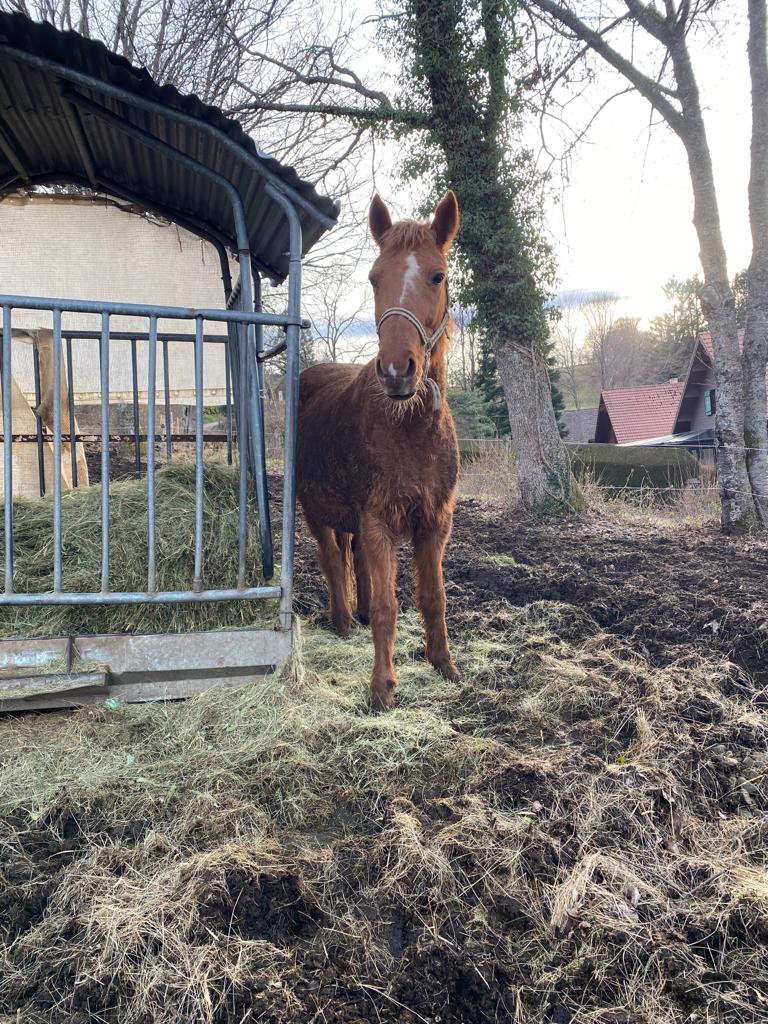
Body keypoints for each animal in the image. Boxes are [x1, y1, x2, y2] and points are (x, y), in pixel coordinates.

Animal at [296, 192, 460, 708]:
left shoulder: (434, 522)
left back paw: (359, 612)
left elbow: (433, 598)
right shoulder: (377, 521)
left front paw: (443, 664)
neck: (410, 430)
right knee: (332, 561)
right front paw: (382, 688)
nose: (395, 371)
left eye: (437, 275)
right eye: (373, 278)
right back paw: (344, 621)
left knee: (354, 561)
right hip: (315, 511)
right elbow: (391, 606)